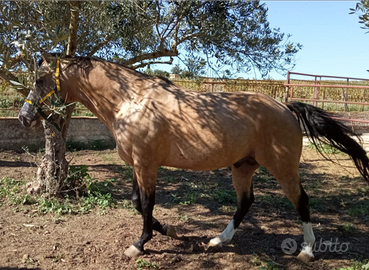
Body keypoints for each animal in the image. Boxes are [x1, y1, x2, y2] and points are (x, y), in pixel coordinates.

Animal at [18, 53, 368, 262]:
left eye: (38, 80)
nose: (24, 117)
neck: (130, 100)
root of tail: (286, 107)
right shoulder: (137, 165)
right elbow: (138, 203)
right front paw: (170, 232)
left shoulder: (146, 165)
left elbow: (146, 204)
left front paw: (139, 244)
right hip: (242, 167)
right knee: (245, 202)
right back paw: (218, 241)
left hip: (282, 168)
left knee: (302, 201)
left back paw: (307, 251)